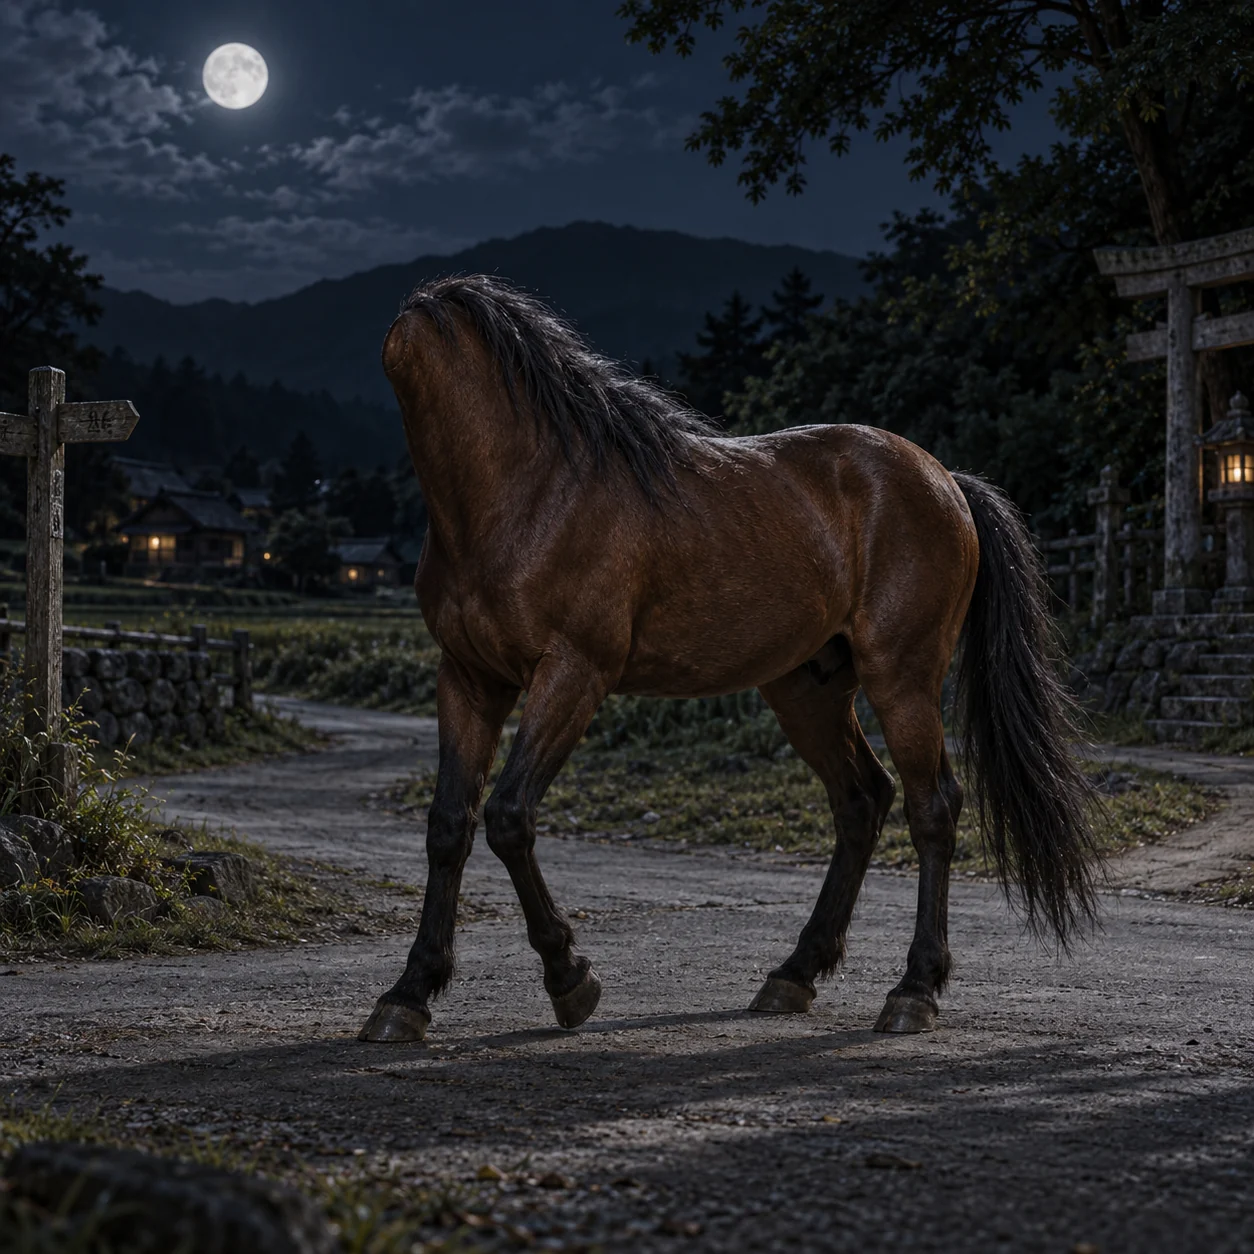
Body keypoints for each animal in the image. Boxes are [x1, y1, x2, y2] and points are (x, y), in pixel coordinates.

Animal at [358, 274, 1099, 1044]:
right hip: (806, 689)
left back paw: (913, 990)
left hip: (904, 679)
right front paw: (408, 994)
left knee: (933, 809)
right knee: (862, 800)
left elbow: (508, 816)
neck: (527, 492)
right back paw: (793, 974)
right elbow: (449, 826)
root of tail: (945, 479)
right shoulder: (469, 680)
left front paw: (570, 978)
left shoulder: (572, 675)